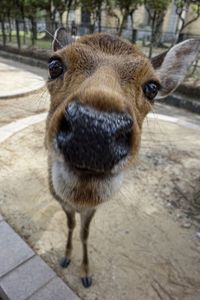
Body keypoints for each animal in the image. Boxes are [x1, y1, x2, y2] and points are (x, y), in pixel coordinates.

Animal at [45, 28, 200, 288]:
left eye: (152, 87)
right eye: (54, 65)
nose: (94, 131)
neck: (79, 201)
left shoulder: (92, 208)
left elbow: (85, 233)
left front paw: (86, 273)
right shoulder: (62, 201)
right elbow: (71, 225)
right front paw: (66, 258)